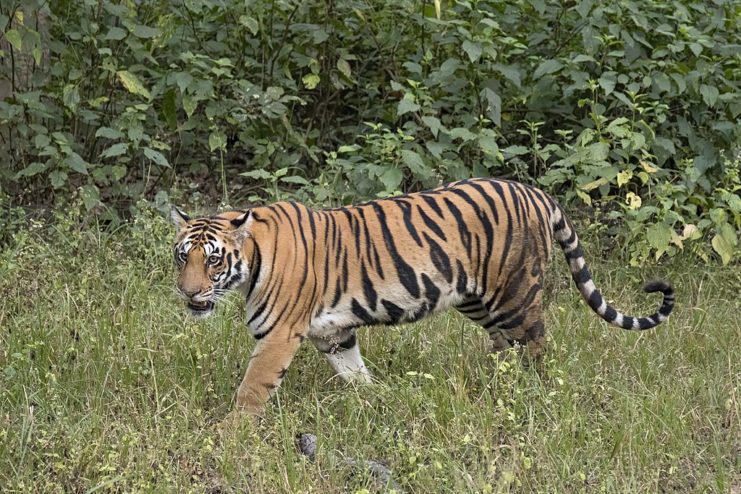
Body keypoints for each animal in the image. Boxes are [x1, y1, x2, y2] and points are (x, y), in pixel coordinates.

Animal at [171, 178, 672, 416]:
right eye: (182, 257)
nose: (188, 292)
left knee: (536, 349)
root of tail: (534, 192)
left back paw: (532, 394)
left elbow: (252, 389)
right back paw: (492, 385)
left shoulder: (278, 336)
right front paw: (376, 400)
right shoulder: (333, 333)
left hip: (515, 295)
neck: (251, 261)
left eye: (213, 260)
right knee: (505, 348)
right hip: (478, 300)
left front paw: (232, 434)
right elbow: (354, 372)